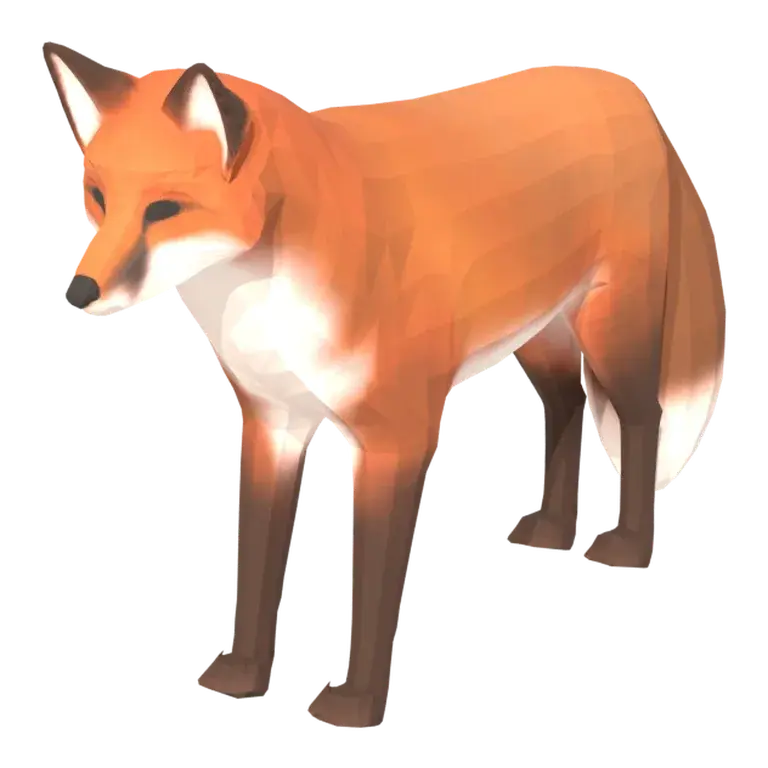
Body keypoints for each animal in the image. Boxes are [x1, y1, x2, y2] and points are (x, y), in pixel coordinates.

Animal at [45, 42, 727, 730]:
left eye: (165, 210)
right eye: (98, 197)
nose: (75, 294)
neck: (270, 296)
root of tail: (617, 82)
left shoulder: (396, 434)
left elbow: (372, 581)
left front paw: (357, 704)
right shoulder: (272, 421)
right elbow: (258, 563)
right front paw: (243, 676)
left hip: (610, 334)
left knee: (641, 416)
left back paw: (629, 548)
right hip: (541, 335)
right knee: (565, 406)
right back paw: (555, 530)